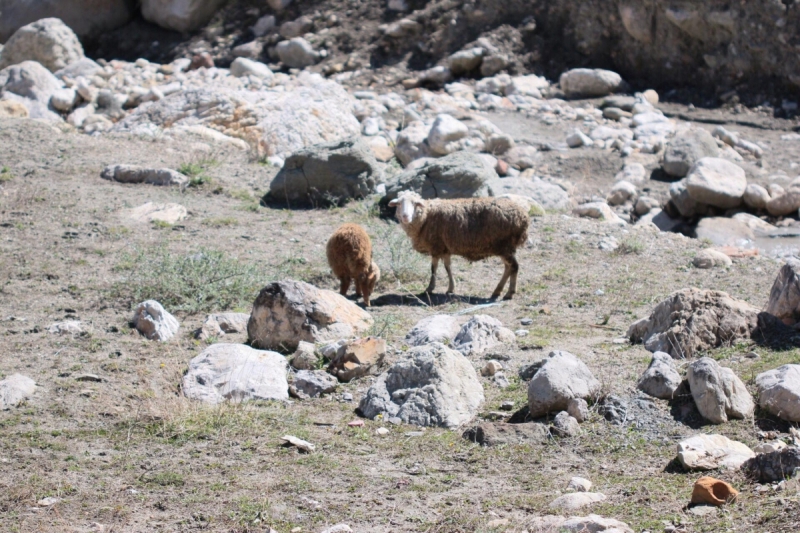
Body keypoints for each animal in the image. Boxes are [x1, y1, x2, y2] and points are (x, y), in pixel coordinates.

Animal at [390, 190, 532, 300]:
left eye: (415, 203)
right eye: (399, 203)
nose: (405, 216)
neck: (426, 216)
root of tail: (524, 217)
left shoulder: (436, 246)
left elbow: (433, 268)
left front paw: (429, 289)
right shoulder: (444, 248)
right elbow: (448, 267)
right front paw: (451, 288)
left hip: (505, 246)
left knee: (514, 267)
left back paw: (509, 293)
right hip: (504, 247)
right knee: (508, 268)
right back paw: (497, 291)